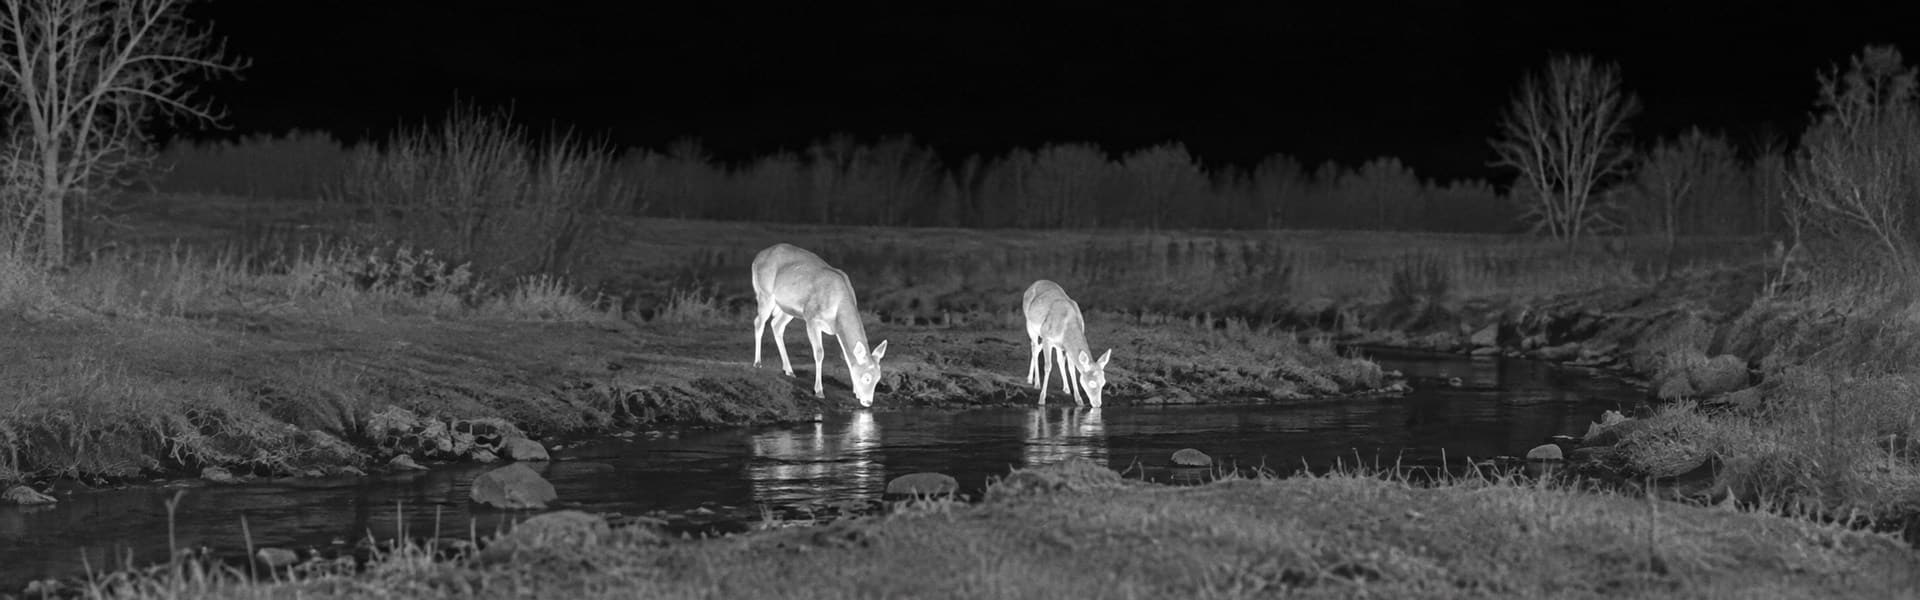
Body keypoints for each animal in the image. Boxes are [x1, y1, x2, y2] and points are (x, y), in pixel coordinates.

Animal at [751, 243, 890, 407]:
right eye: (866, 377)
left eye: (878, 378)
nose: (868, 402)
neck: (838, 304)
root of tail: (757, 257)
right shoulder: (812, 318)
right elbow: (819, 353)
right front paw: (818, 391)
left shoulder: (836, 328)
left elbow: (846, 356)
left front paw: (855, 392)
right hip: (765, 294)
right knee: (758, 322)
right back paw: (757, 363)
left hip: (790, 308)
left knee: (776, 325)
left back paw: (789, 370)